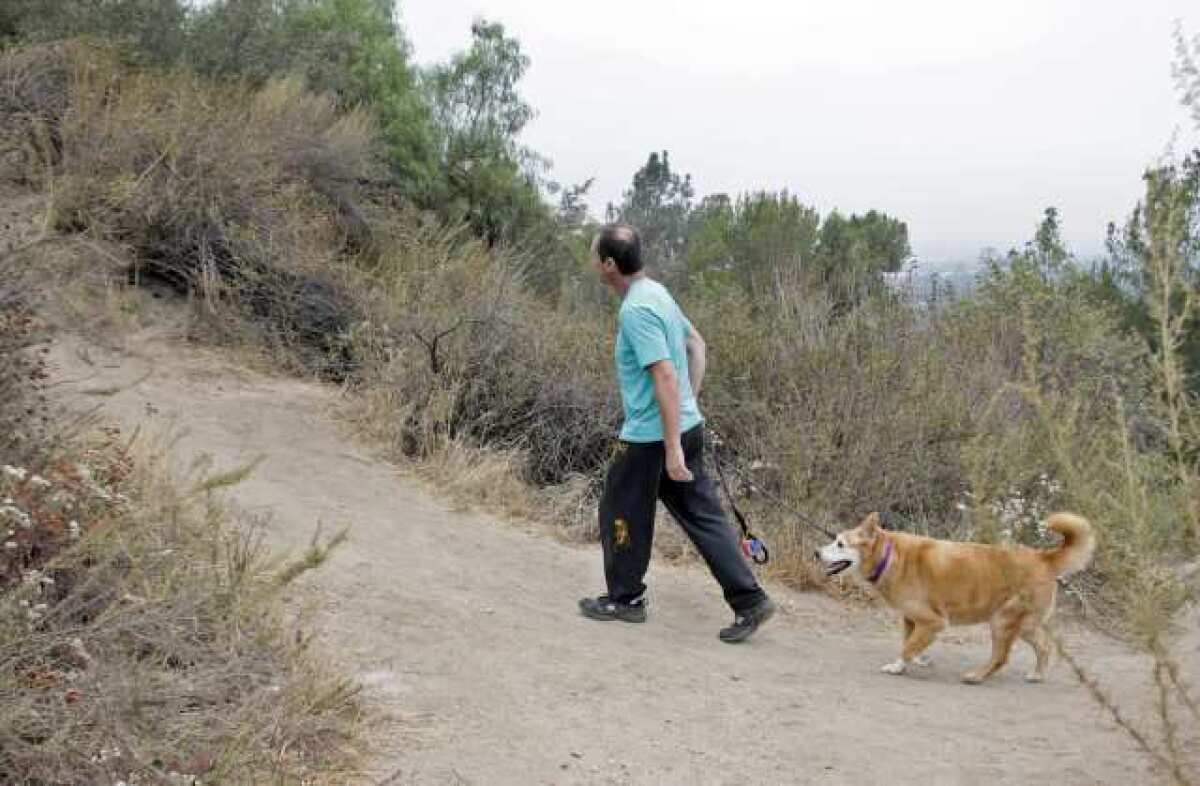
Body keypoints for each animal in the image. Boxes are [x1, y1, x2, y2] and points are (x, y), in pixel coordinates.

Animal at [816, 511, 1099, 681]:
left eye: (840, 543)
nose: (816, 553)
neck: (889, 556)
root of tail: (1044, 557)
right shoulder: (912, 620)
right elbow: (910, 644)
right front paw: (917, 660)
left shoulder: (933, 621)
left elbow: (907, 647)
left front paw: (897, 666)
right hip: (1025, 625)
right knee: (1044, 646)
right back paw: (1037, 675)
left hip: (1002, 622)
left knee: (1001, 658)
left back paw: (976, 676)